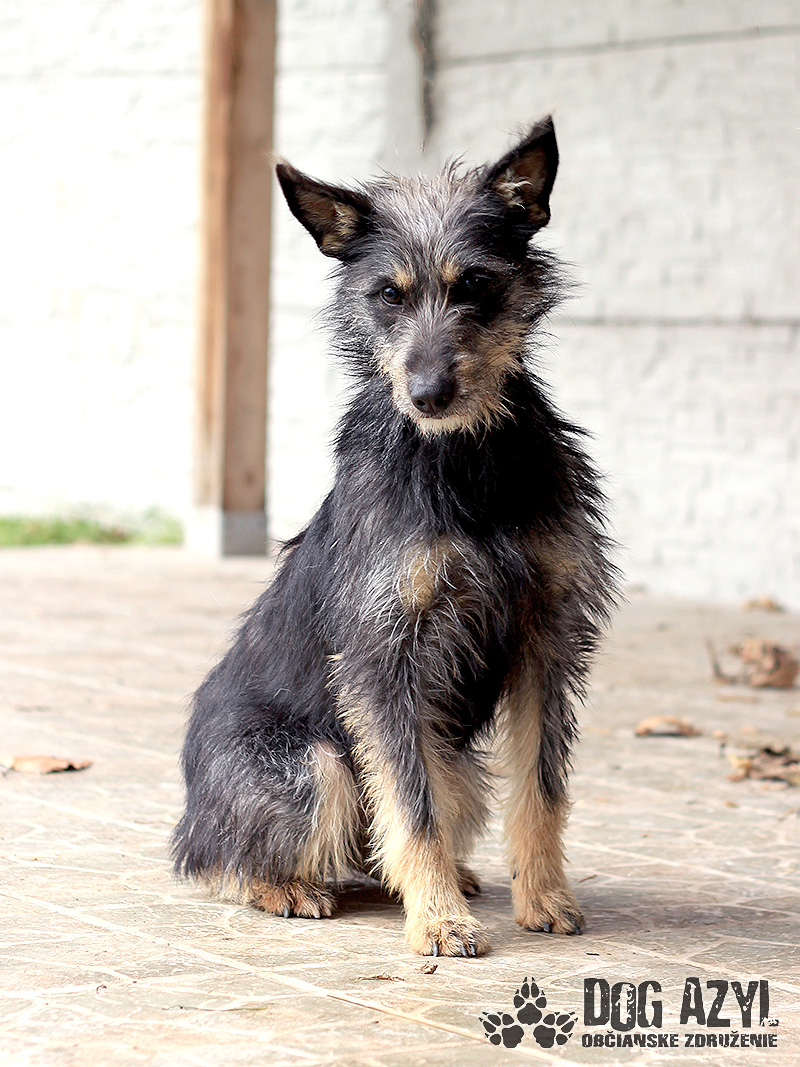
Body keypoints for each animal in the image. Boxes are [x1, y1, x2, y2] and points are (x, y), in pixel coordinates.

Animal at [173, 116, 617, 957]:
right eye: (387, 294)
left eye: (474, 283)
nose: (429, 393)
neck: (463, 461)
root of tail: (190, 808)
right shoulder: (384, 658)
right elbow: (410, 804)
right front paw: (438, 919)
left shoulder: (546, 638)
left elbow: (540, 786)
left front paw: (545, 896)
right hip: (309, 763)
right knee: (228, 858)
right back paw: (288, 886)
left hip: (459, 764)